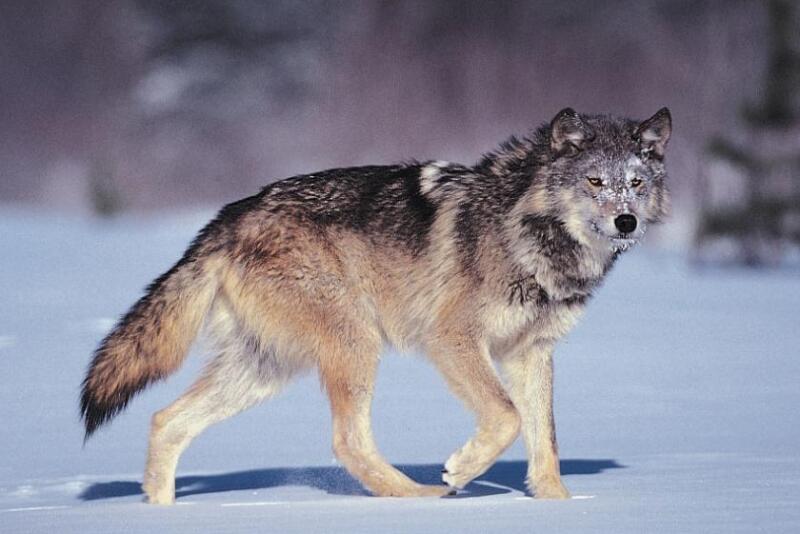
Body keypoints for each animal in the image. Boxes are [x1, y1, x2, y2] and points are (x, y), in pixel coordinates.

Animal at [80, 107, 671, 504]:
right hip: (355, 343)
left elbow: (543, 438)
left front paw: (558, 507)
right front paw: (460, 471)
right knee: (347, 442)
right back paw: (420, 497)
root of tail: (228, 217)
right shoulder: (453, 340)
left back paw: (159, 511)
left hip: (264, 370)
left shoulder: (532, 351)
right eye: (594, 181)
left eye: (635, 184)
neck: (529, 234)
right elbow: (505, 417)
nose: (626, 222)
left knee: (165, 420)